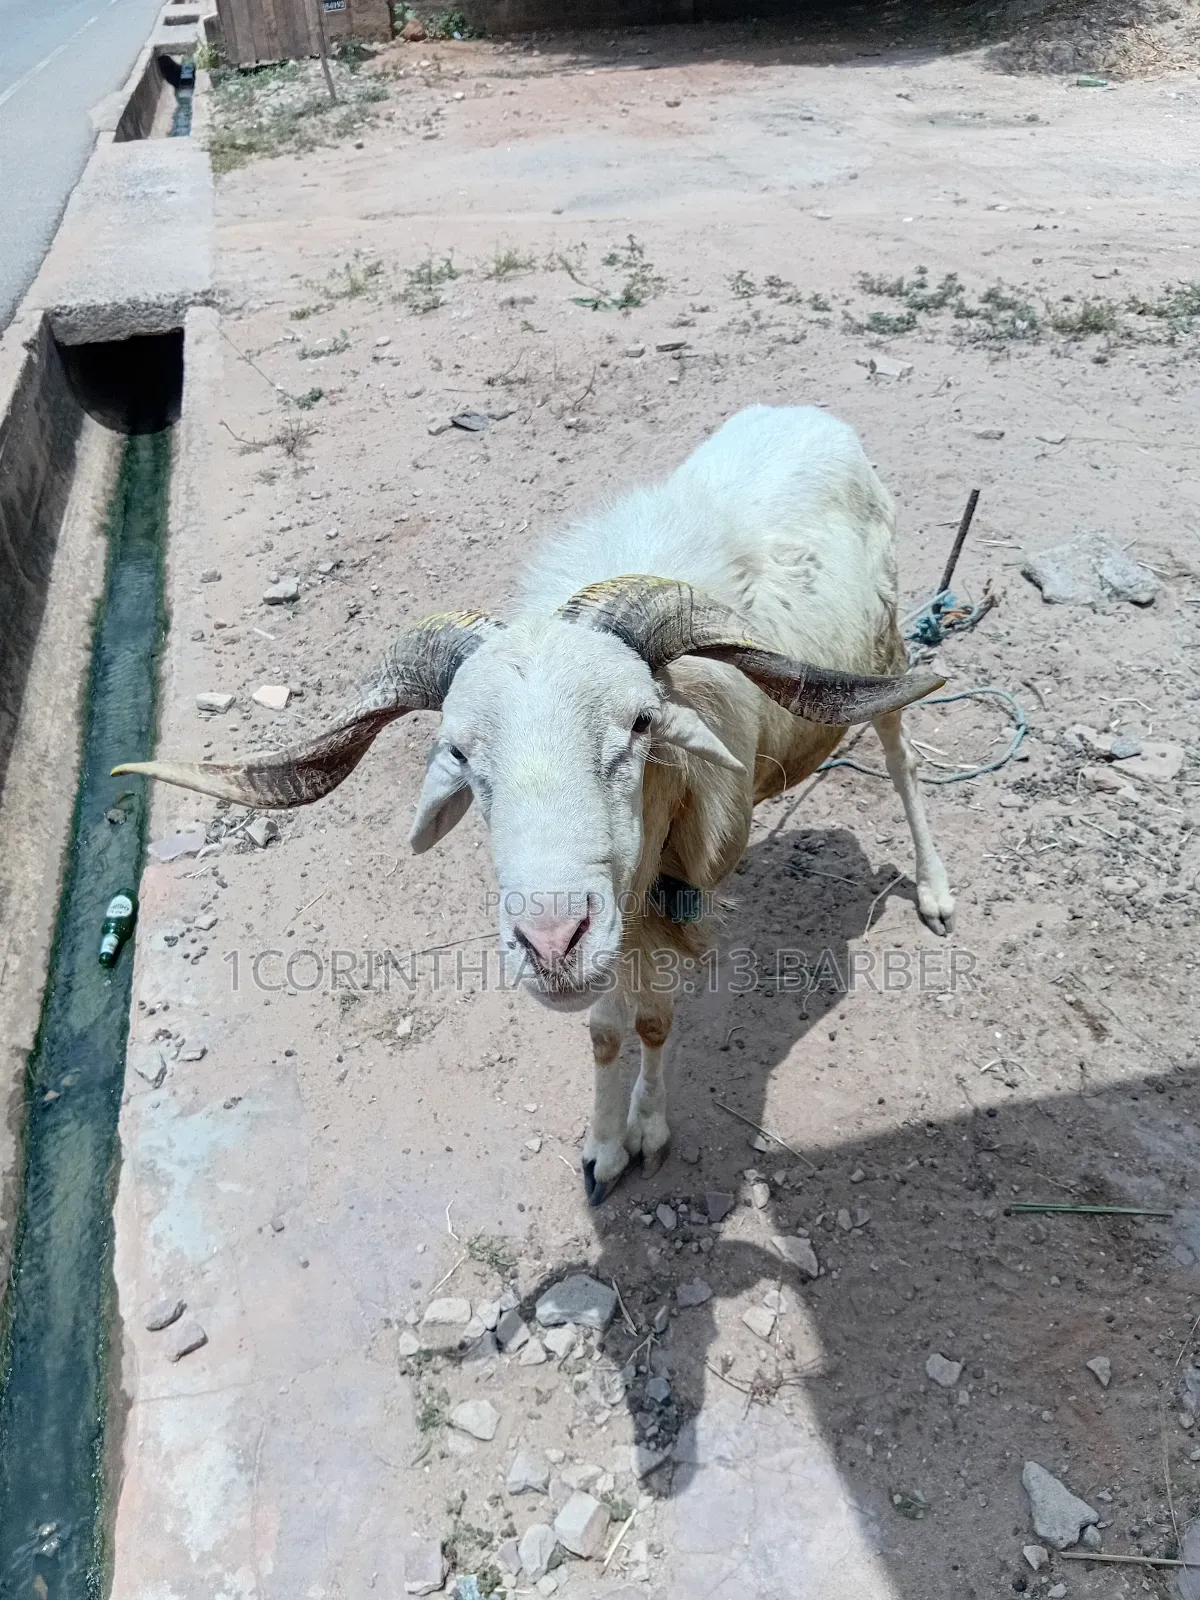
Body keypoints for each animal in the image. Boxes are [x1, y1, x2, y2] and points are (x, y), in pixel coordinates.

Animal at [116, 404, 954, 1205]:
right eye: (460, 754)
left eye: (641, 723)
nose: (551, 943)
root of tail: (811, 417)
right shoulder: (623, 910)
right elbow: (608, 1034)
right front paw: (605, 1149)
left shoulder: (657, 896)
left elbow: (653, 1020)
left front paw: (648, 1132)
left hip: (884, 647)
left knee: (902, 755)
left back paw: (936, 891)